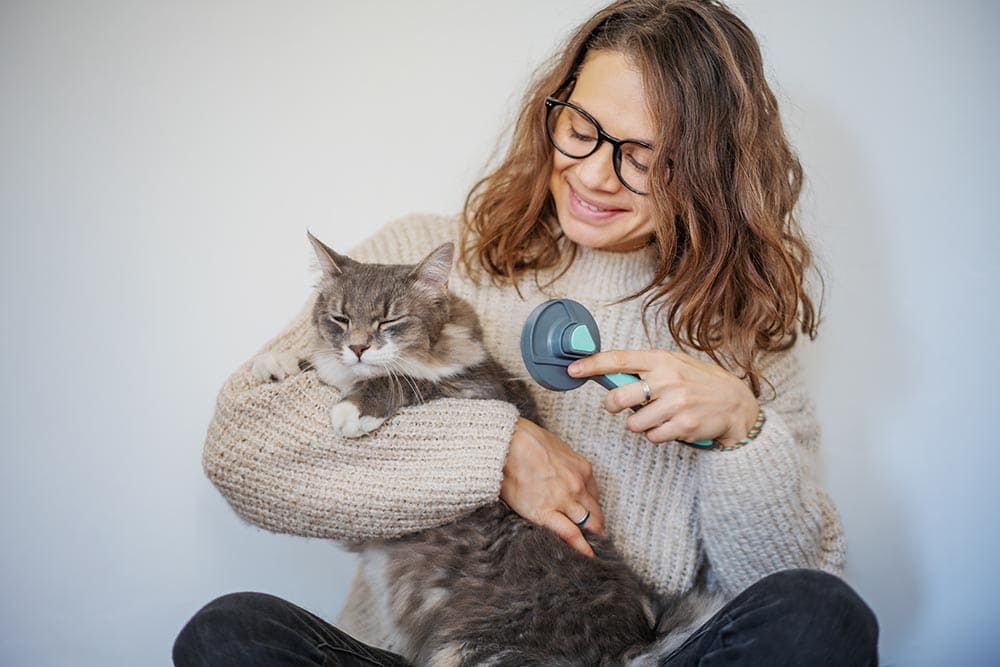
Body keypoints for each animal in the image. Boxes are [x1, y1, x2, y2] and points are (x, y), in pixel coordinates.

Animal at [250, 234, 720, 667]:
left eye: (389, 321)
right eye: (340, 318)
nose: (359, 347)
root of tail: (629, 644)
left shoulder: (477, 387)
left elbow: (411, 381)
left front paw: (354, 408)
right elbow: (322, 366)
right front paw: (278, 363)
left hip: (473, 650)